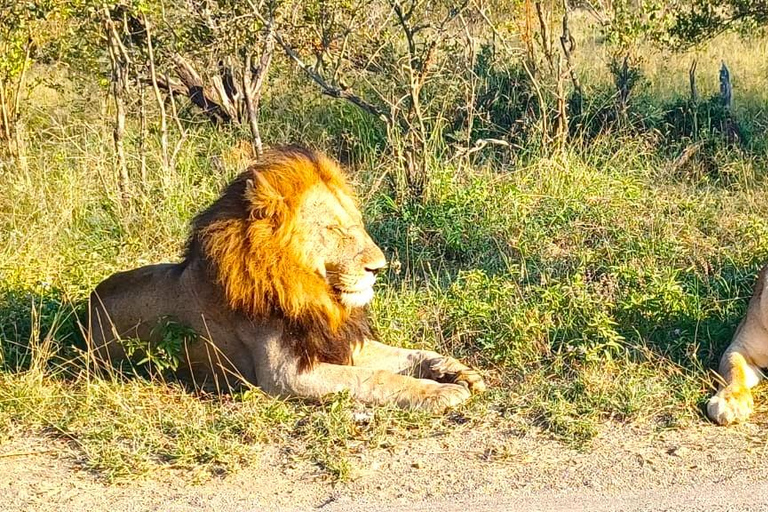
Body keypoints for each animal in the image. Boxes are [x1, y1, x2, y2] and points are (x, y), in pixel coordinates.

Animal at [87, 144, 484, 412]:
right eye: (333, 228)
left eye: (355, 223)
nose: (379, 268)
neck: (311, 292)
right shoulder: (286, 375)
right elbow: (374, 378)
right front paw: (438, 391)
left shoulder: (340, 343)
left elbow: (409, 353)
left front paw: (454, 370)